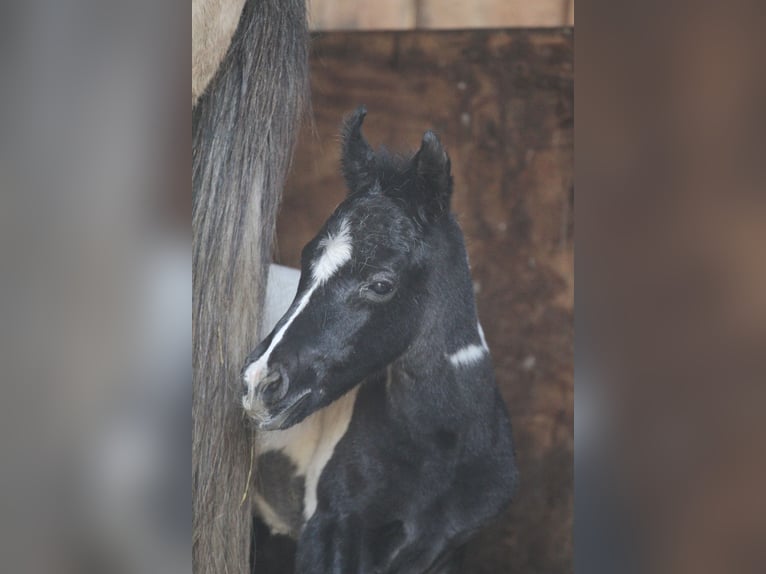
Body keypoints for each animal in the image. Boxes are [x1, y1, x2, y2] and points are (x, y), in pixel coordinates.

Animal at [242, 107, 519, 573]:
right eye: (306, 261)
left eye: (381, 284)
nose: (259, 382)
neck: (442, 446)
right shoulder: (329, 530)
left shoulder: (445, 550)